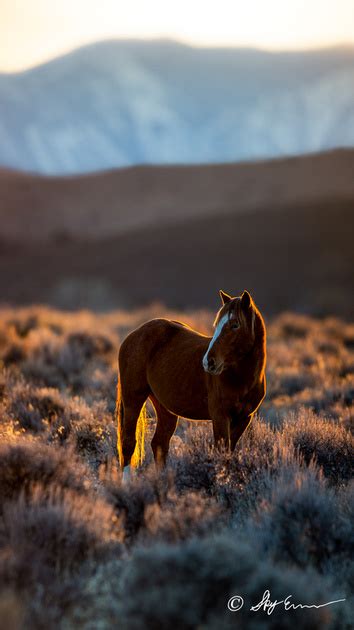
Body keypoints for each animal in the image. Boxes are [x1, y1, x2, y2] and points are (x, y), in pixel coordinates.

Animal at [116, 292, 266, 474]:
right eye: (216, 325)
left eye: (235, 325)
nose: (208, 362)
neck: (241, 380)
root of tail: (134, 334)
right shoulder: (220, 416)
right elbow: (221, 453)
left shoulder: (244, 418)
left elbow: (229, 453)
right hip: (133, 399)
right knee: (128, 443)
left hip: (165, 408)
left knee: (159, 444)